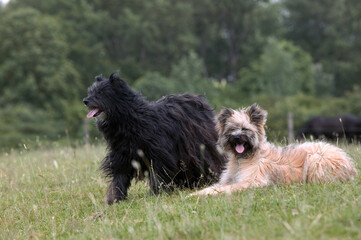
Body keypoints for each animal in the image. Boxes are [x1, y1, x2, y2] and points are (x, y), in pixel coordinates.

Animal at [83, 73, 224, 204]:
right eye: (91, 92)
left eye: (100, 93)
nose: (85, 101)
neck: (130, 120)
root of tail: (196, 99)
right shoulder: (121, 156)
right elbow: (119, 177)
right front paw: (115, 198)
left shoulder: (158, 154)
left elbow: (157, 173)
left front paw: (155, 193)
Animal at [193, 104, 356, 196]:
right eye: (232, 129)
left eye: (245, 129)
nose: (237, 137)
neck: (245, 157)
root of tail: (351, 166)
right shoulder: (227, 180)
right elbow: (215, 187)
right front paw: (196, 193)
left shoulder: (251, 182)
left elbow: (222, 189)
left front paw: (197, 195)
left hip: (316, 158)